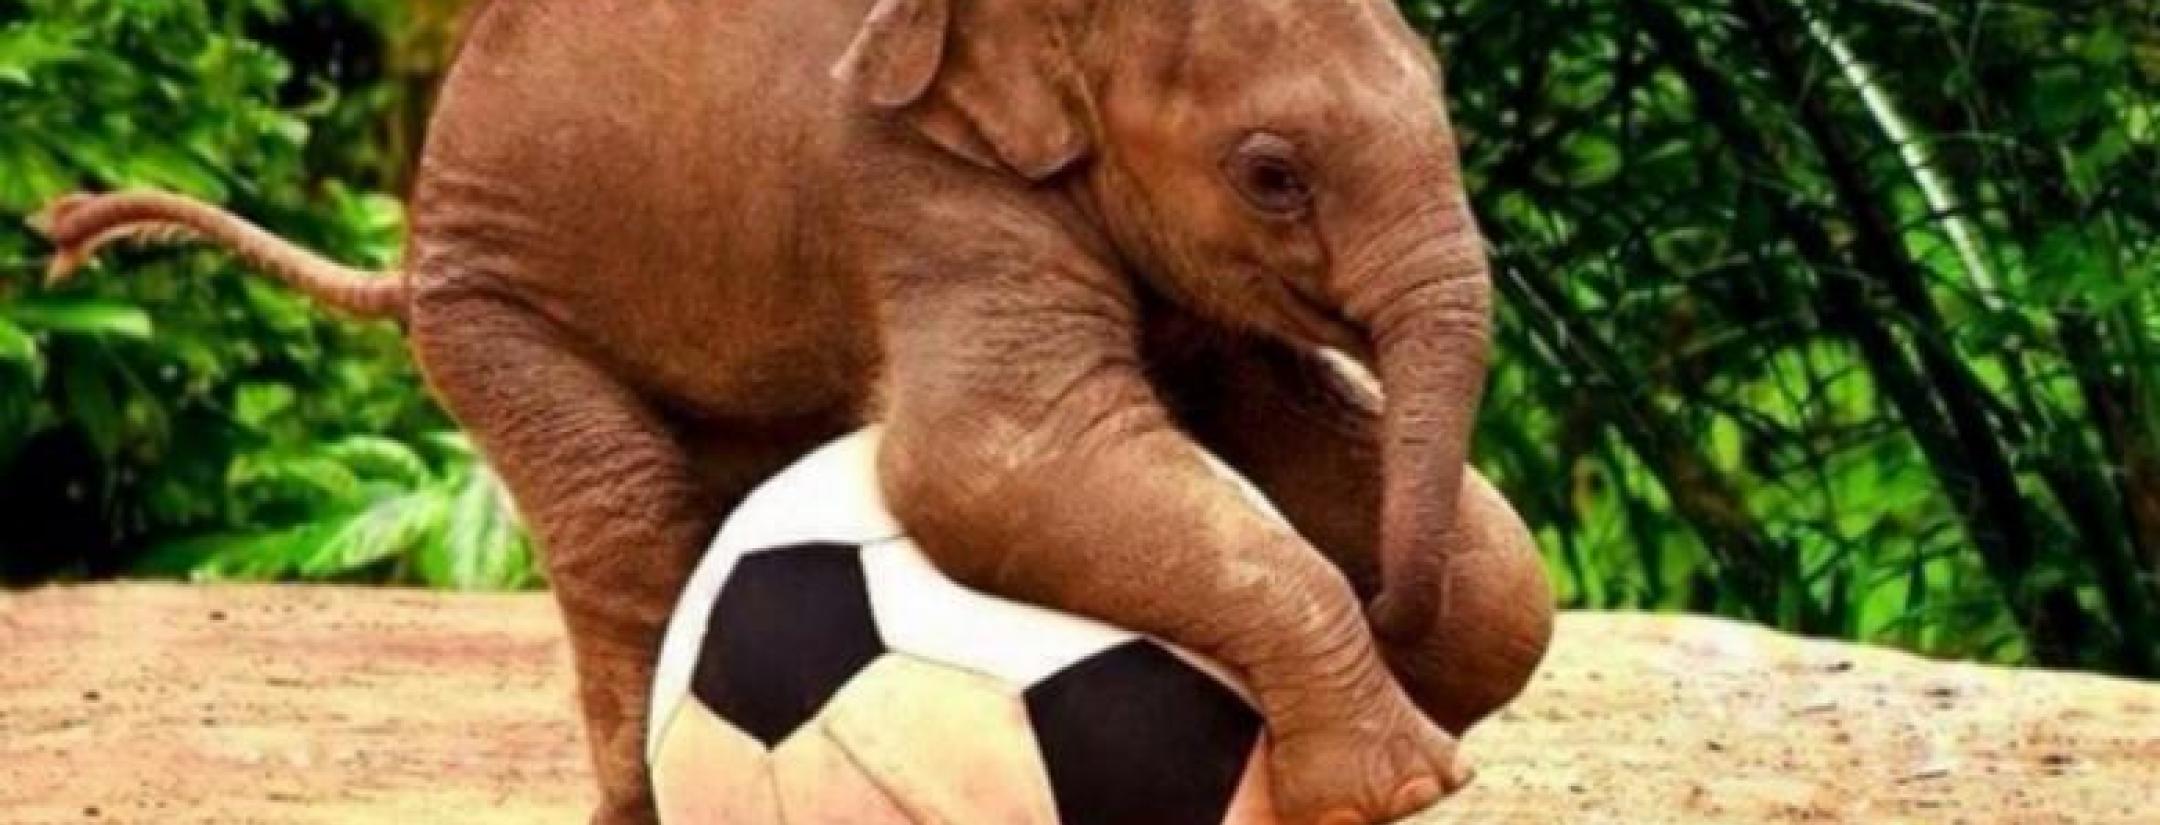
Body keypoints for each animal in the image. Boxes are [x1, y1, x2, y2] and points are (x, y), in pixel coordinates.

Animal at [34, 0, 1555, 822]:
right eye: (1271, 175)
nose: (1388, 609)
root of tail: (407, 257)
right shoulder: (911, 174)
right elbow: (985, 464)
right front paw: (1408, 783)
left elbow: (1337, 458)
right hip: (498, 305)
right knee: (629, 521)